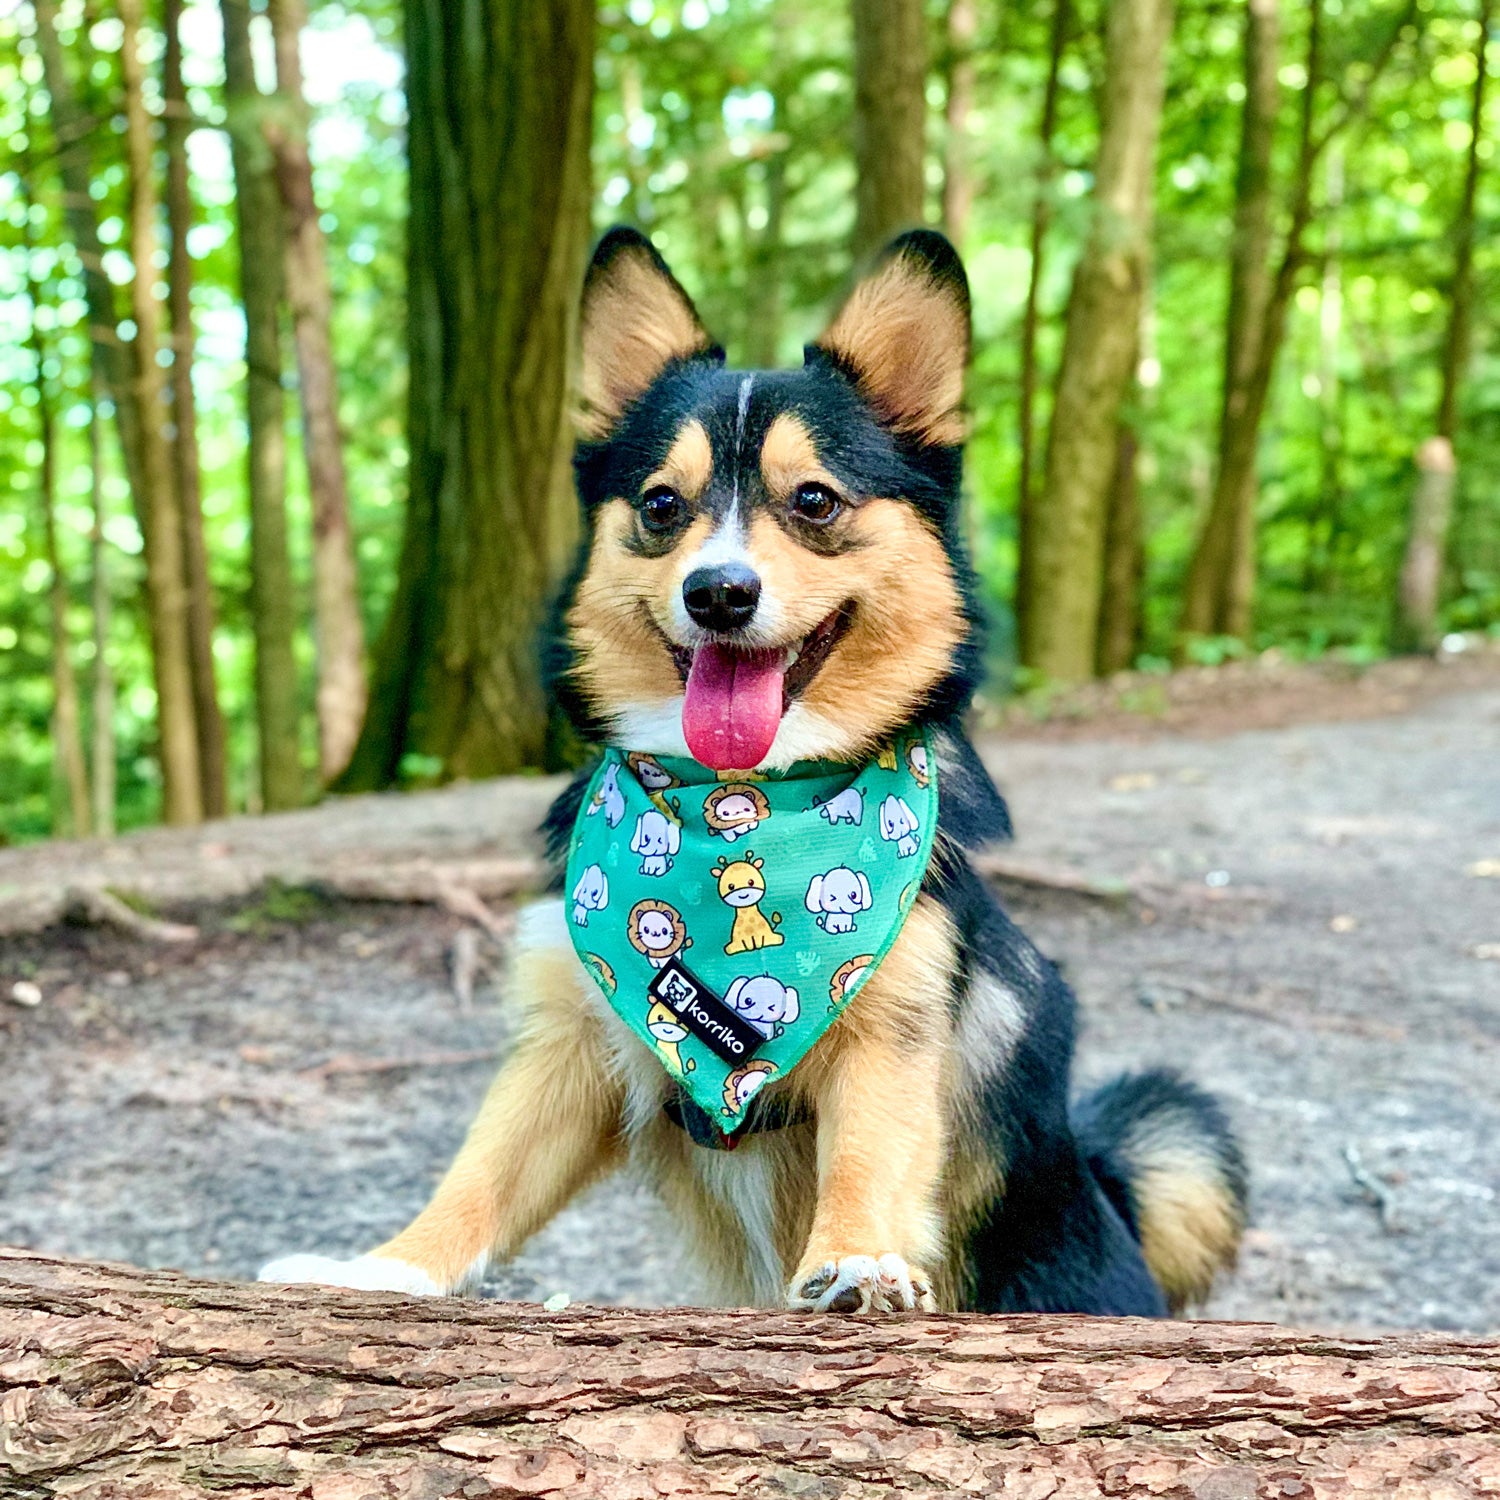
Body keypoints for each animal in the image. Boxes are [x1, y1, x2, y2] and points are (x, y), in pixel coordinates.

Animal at [264, 222, 1248, 1314]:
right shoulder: (570, 1043)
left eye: (813, 500)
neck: (748, 800)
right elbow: (482, 1176)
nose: (719, 592)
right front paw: (379, 1269)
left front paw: (856, 1260)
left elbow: (869, 1158)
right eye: (661, 505)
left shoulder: (894, 1027)